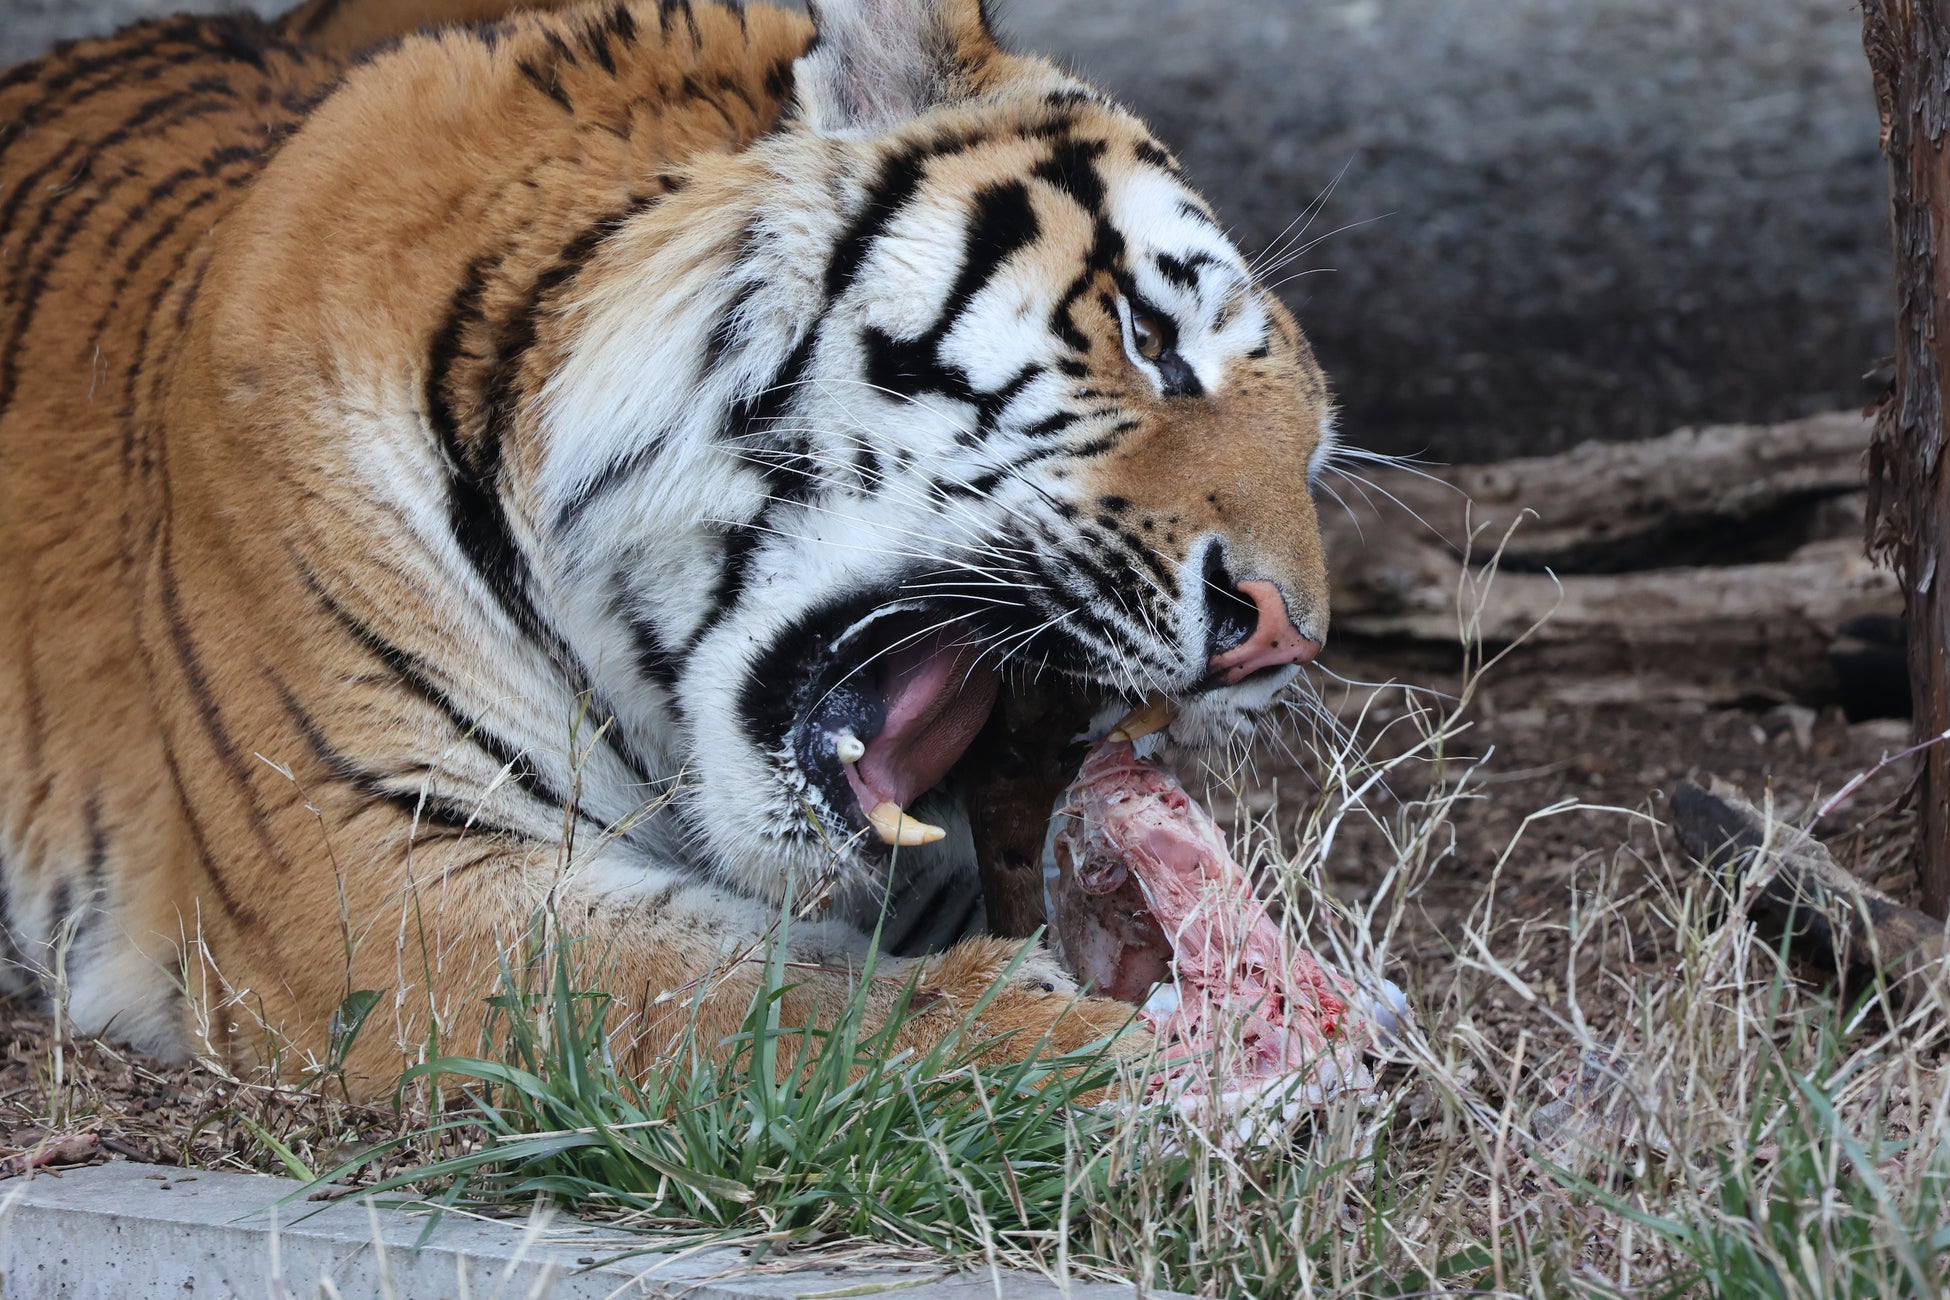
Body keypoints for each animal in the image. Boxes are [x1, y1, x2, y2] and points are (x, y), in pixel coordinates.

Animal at [0, 0, 1341, 1091]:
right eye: (1152, 339)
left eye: (1316, 459)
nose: (1287, 638)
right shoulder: (361, 865)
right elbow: (710, 991)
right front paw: (1063, 1049)